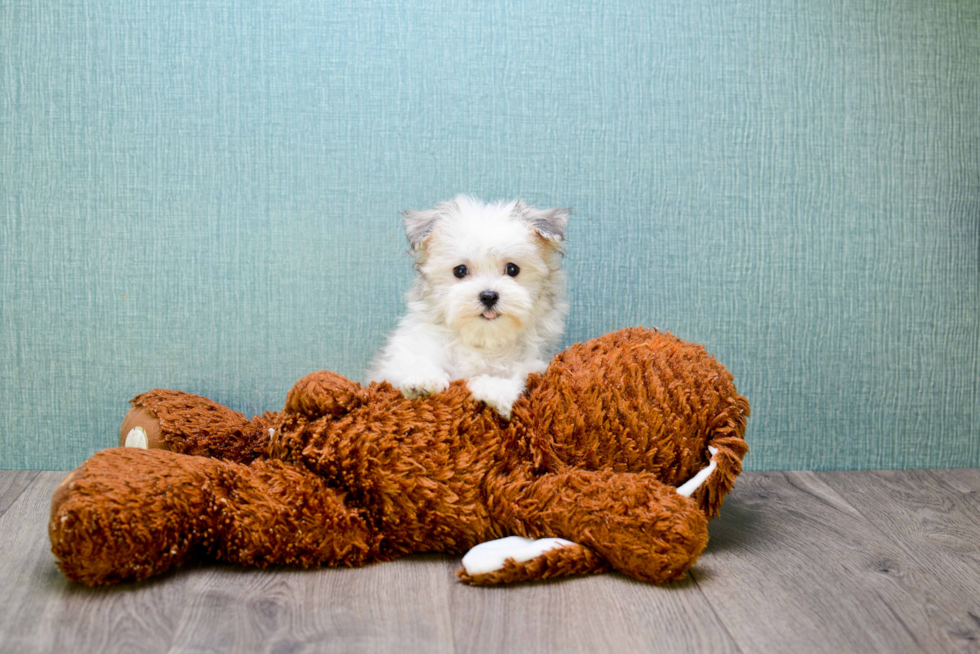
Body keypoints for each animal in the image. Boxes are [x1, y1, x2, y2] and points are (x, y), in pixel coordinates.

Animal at [370, 196, 572, 420]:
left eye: (512, 269)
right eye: (460, 270)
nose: (489, 296)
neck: (482, 339)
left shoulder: (532, 364)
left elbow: (515, 374)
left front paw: (494, 389)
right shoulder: (408, 350)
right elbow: (413, 359)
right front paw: (423, 379)